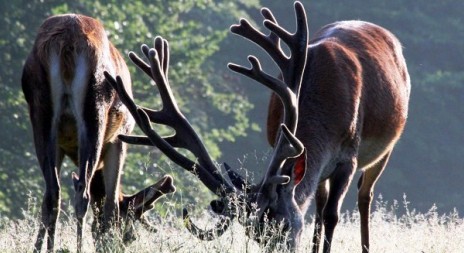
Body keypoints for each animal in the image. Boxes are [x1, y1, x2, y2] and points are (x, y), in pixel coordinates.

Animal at [20, 14, 176, 253]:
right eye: (131, 236)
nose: (121, 244)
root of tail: (67, 40)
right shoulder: (119, 139)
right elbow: (110, 204)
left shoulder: (61, 145)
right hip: (95, 108)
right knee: (82, 193)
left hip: (40, 112)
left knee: (52, 193)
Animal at [105, 0, 410, 252]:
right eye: (256, 235)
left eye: (284, 225)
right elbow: (317, 210)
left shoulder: (348, 155)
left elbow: (333, 216)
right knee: (322, 202)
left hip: (388, 145)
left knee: (363, 195)